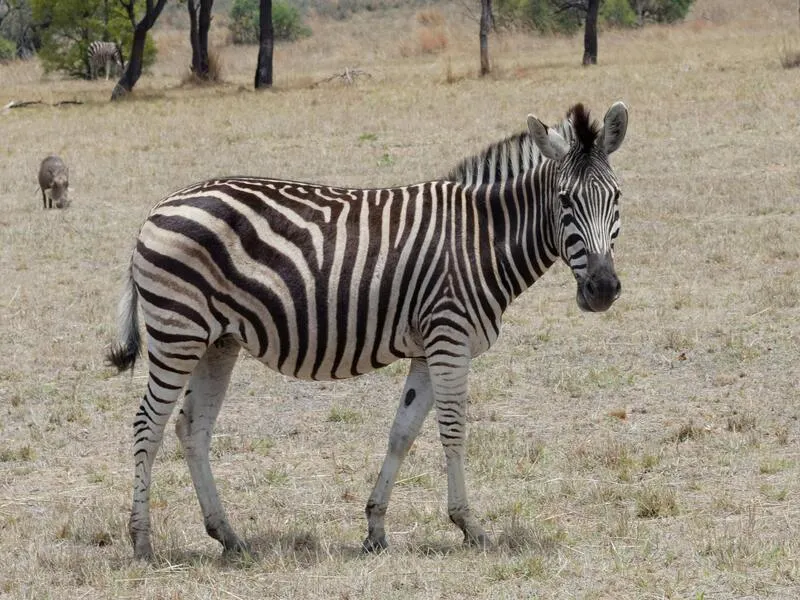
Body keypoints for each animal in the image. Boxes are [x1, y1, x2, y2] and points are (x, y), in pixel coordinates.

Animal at [108, 101, 632, 560]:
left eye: (617, 198)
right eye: (564, 201)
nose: (603, 290)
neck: (482, 238)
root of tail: (156, 209)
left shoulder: (427, 349)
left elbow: (402, 432)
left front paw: (376, 528)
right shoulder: (450, 338)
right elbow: (453, 431)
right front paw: (470, 526)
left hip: (217, 342)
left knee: (192, 428)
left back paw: (228, 536)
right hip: (178, 334)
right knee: (148, 426)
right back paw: (142, 542)